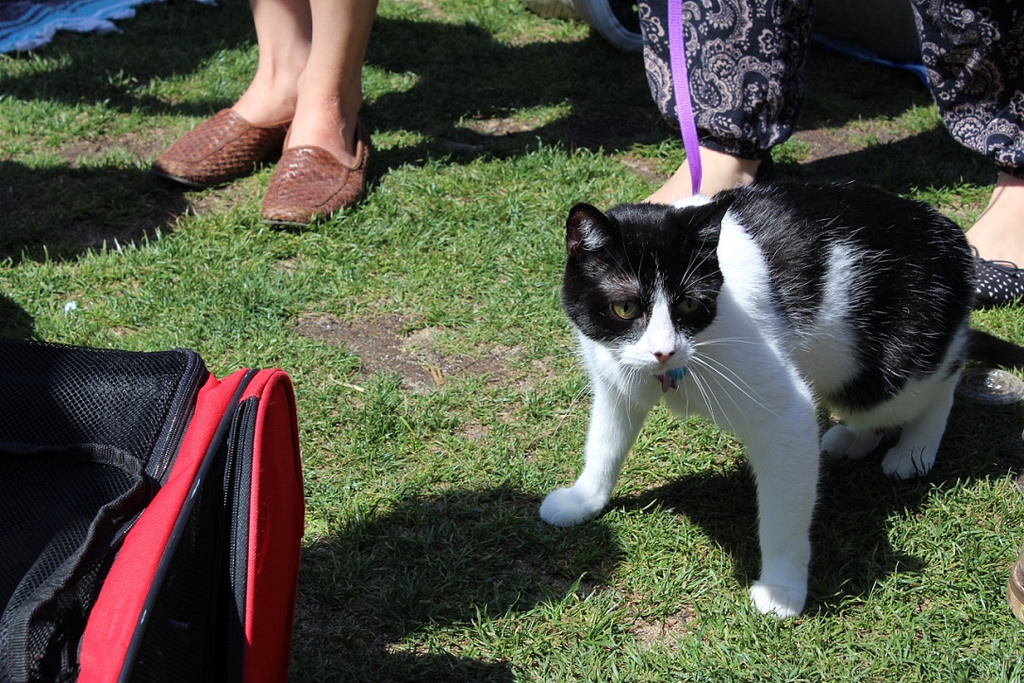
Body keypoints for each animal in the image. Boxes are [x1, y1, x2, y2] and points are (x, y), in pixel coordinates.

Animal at [540, 181, 1024, 618]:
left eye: (689, 305)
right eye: (624, 308)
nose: (663, 350)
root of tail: (950, 232)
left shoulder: (785, 415)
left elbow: (783, 515)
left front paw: (782, 588)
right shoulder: (615, 378)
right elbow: (605, 442)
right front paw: (584, 499)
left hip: (896, 366)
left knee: (944, 373)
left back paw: (915, 448)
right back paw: (856, 437)